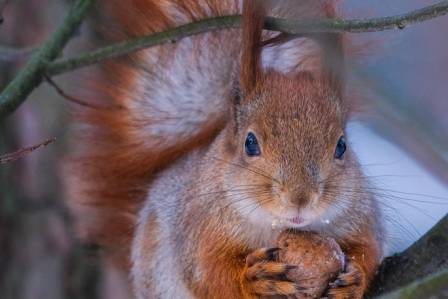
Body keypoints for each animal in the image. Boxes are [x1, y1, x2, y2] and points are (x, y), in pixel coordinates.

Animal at [68, 0, 384, 298]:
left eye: (342, 146)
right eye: (250, 143)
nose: (300, 199)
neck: (276, 226)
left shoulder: (361, 219)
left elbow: (370, 249)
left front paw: (354, 279)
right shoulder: (200, 230)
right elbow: (210, 274)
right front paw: (255, 280)